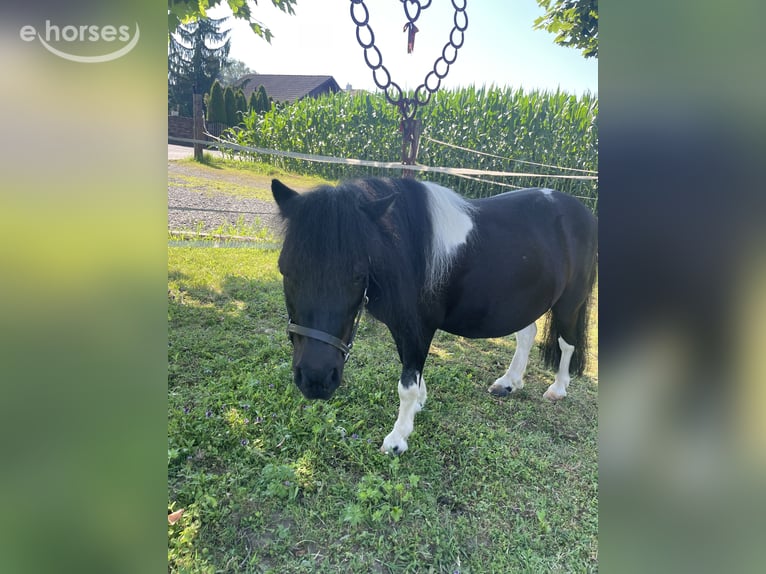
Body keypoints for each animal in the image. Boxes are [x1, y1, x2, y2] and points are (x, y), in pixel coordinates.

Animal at [271, 177, 597, 454]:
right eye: (286, 270)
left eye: (357, 275)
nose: (315, 379)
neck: (404, 248)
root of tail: (582, 212)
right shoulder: (404, 326)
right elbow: (412, 369)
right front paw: (419, 404)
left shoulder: (418, 327)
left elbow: (406, 384)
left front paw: (398, 438)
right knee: (527, 334)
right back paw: (509, 382)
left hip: (570, 302)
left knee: (566, 343)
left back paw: (557, 388)